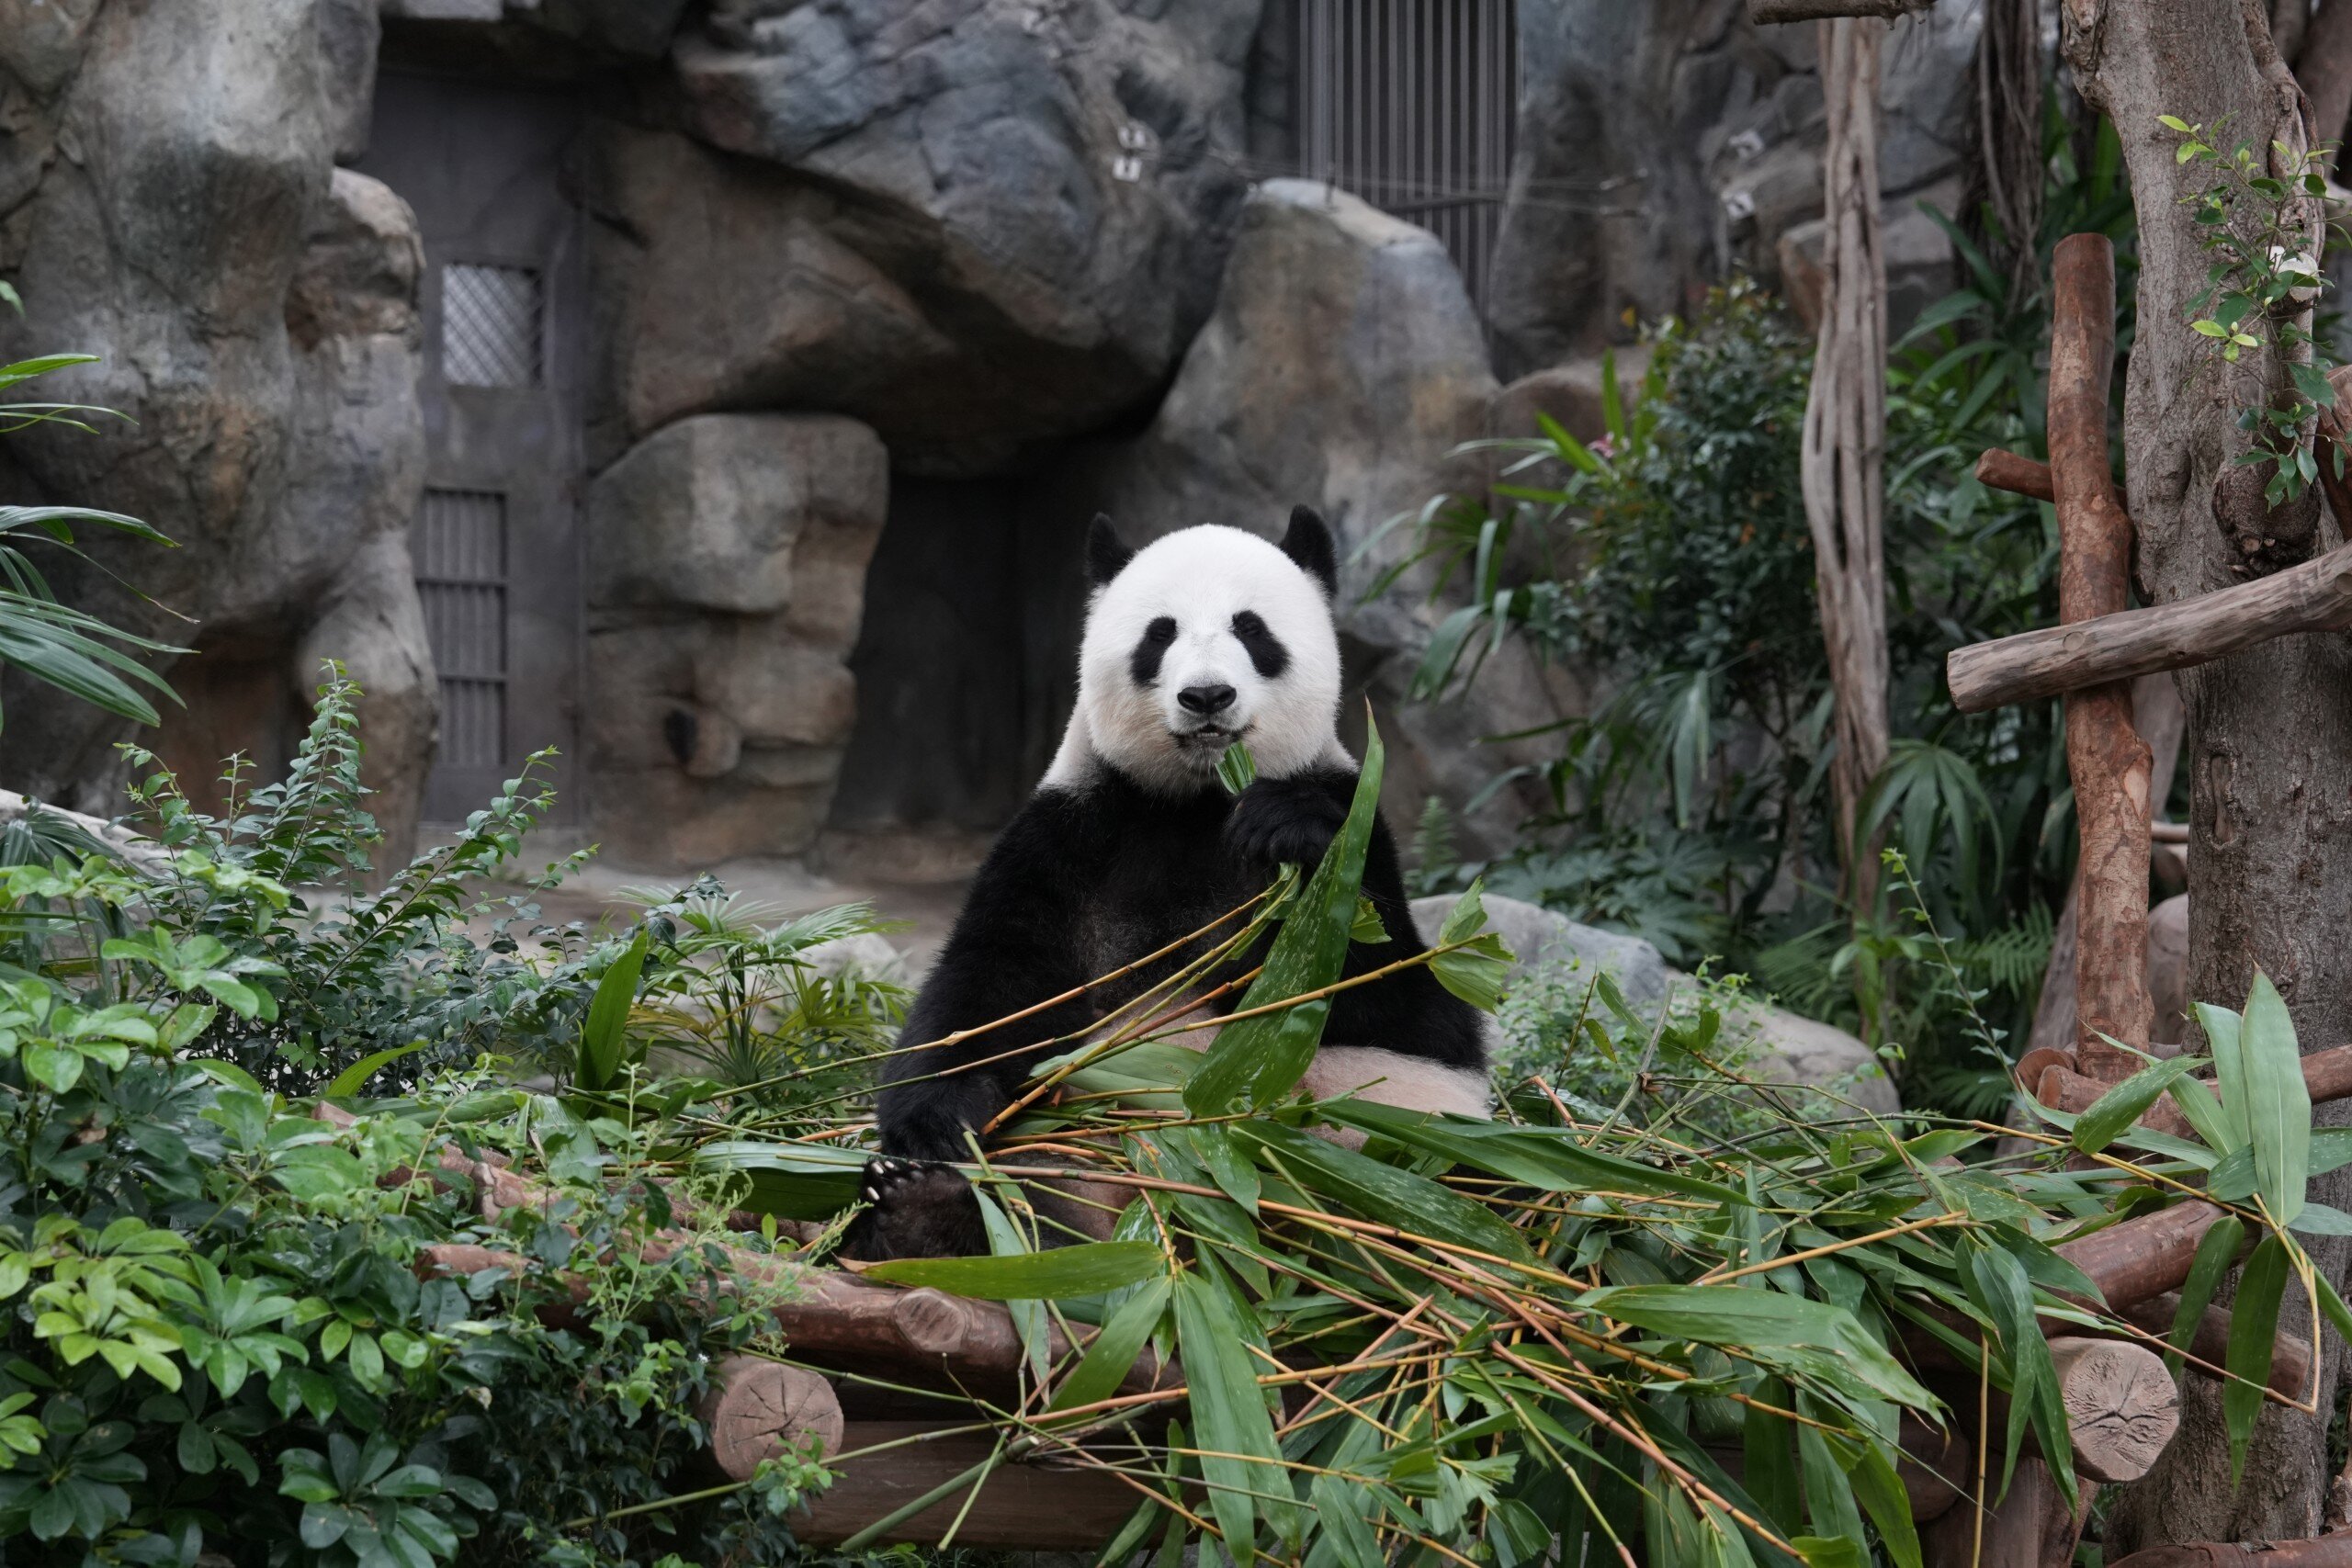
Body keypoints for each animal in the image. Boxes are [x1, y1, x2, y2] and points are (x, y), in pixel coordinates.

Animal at [845, 507, 1488, 1261]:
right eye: (1160, 634)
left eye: (1252, 629)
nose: (1207, 695)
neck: (1198, 803)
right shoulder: (1073, 832)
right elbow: (991, 986)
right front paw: (935, 1125)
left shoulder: (1358, 827)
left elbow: (1400, 998)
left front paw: (1284, 828)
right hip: (1070, 1153)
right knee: (1037, 1201)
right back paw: (928, 1211)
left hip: (1405, 1155)